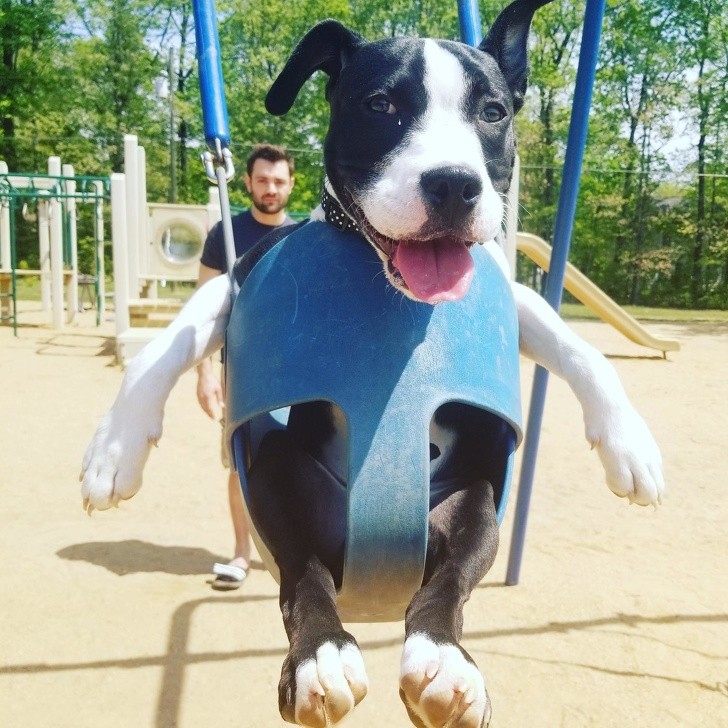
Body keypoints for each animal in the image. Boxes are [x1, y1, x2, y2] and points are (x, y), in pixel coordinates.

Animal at [81, 2, 664, 724]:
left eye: (493, 111)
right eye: (381, 104)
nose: (453, 183)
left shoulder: (510, 296)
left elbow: (577, 344)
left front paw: (629, 444)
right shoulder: (243, 276)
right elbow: (166, 342)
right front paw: (115, 451)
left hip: (474, 500)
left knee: (447, 585)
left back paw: (444, 662)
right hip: (281, 475)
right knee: (301, 574)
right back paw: (321, 657)